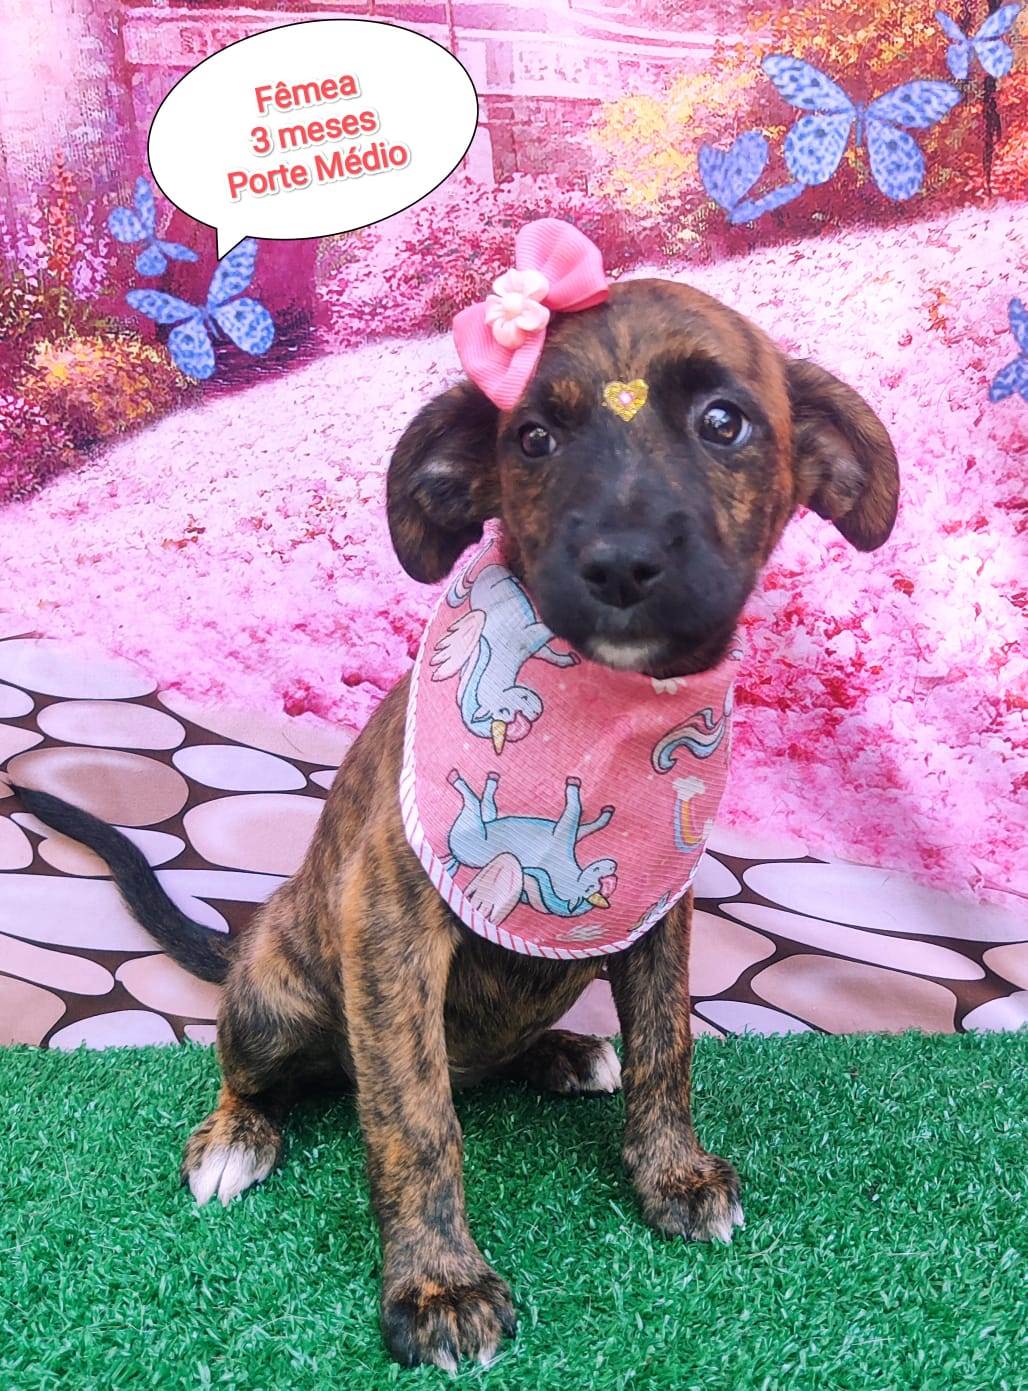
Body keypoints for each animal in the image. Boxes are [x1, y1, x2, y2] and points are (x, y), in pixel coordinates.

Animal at [14, 263, 898, 1370]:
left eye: (723, 421)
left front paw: (674, 1174)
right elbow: (415, 1118)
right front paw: (439, 1285)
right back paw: (235, 1136)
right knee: (256, 1071)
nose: (619, 562)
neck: (601, 710)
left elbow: (668, 1046)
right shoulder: (395, 930)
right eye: (533, 439)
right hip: (272, 1000)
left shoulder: (661, 911)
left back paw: (564, 1053)